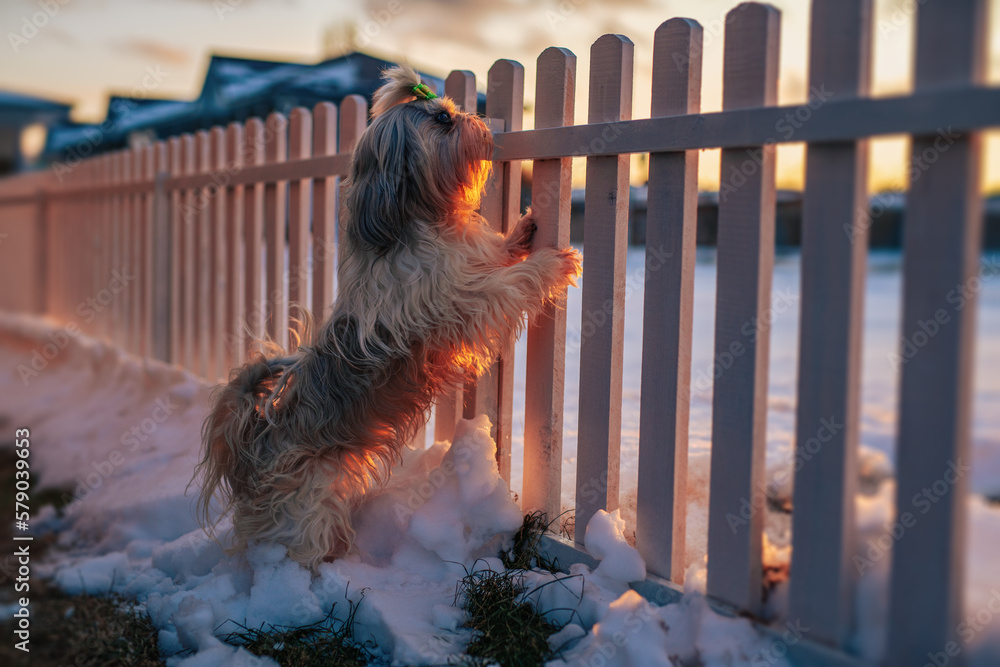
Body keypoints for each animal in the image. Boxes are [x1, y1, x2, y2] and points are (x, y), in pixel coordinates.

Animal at [196, 65, 584, 572]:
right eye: (442, 119)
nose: (478, 120)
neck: (412, 225)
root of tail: (252, 440)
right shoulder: (465, 304)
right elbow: (510, 284)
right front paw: (552, 263)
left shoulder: (467, 264)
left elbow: (495, 256)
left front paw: (521, 231)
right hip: (303, 505)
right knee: (292, 544)